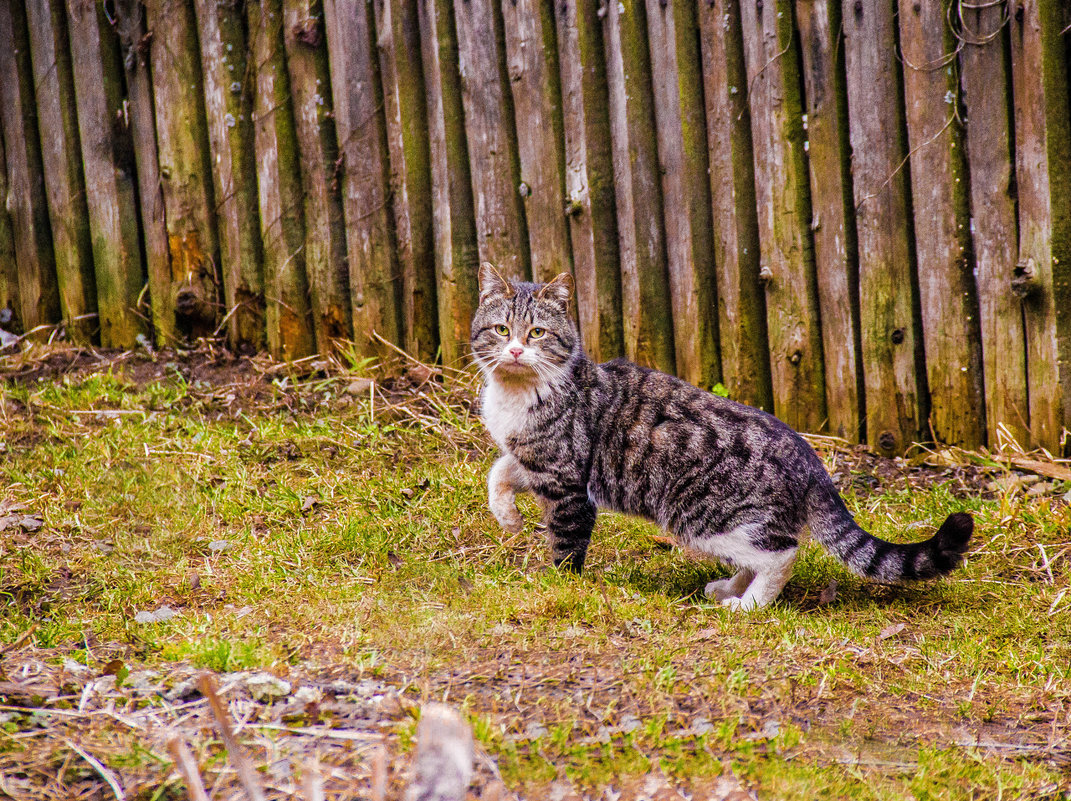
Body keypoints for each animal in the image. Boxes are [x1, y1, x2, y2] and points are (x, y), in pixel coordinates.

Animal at [469, 261, 972, 608]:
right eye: (501, 329)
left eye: (537, 333)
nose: (515, 351)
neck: (517, 395)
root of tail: (809, 459)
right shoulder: (532, 459)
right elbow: (499, 472)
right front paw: (508, 518)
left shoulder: (568, 482)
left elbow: (566, 543)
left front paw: (560, 584)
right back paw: (727, 589)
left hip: (702, 516)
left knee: (782, 554)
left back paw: (747, 606)